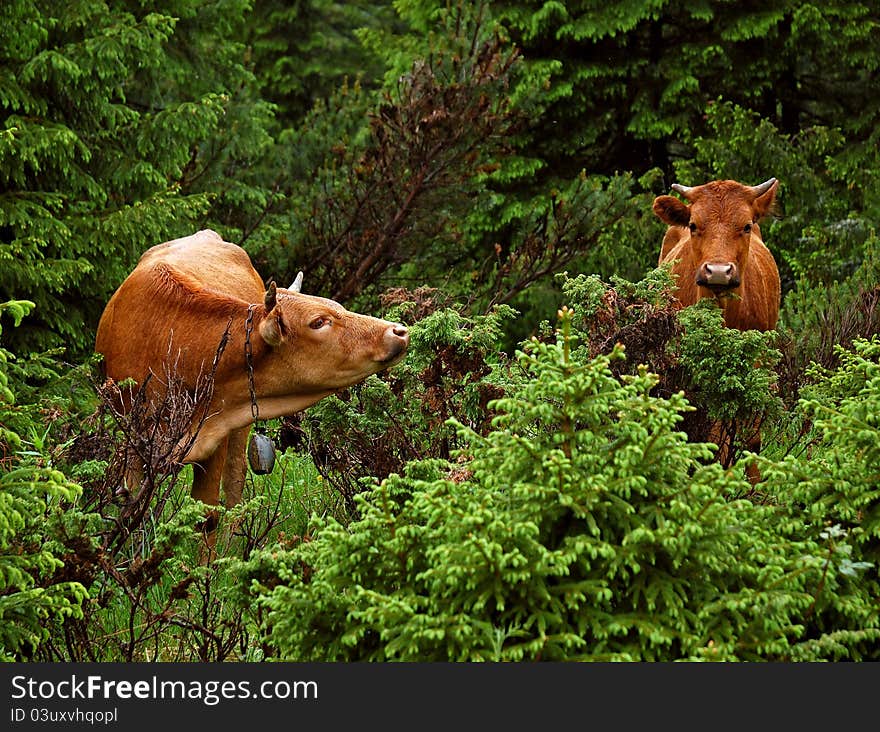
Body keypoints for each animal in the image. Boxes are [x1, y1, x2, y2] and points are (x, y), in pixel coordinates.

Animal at [94, 232, 410, 548]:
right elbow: (130, 512)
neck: (174, 343)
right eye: (319, 321)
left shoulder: (216, 434)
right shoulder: (130, 439)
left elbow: (208, 517)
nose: (398, 331)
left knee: (235, 484)